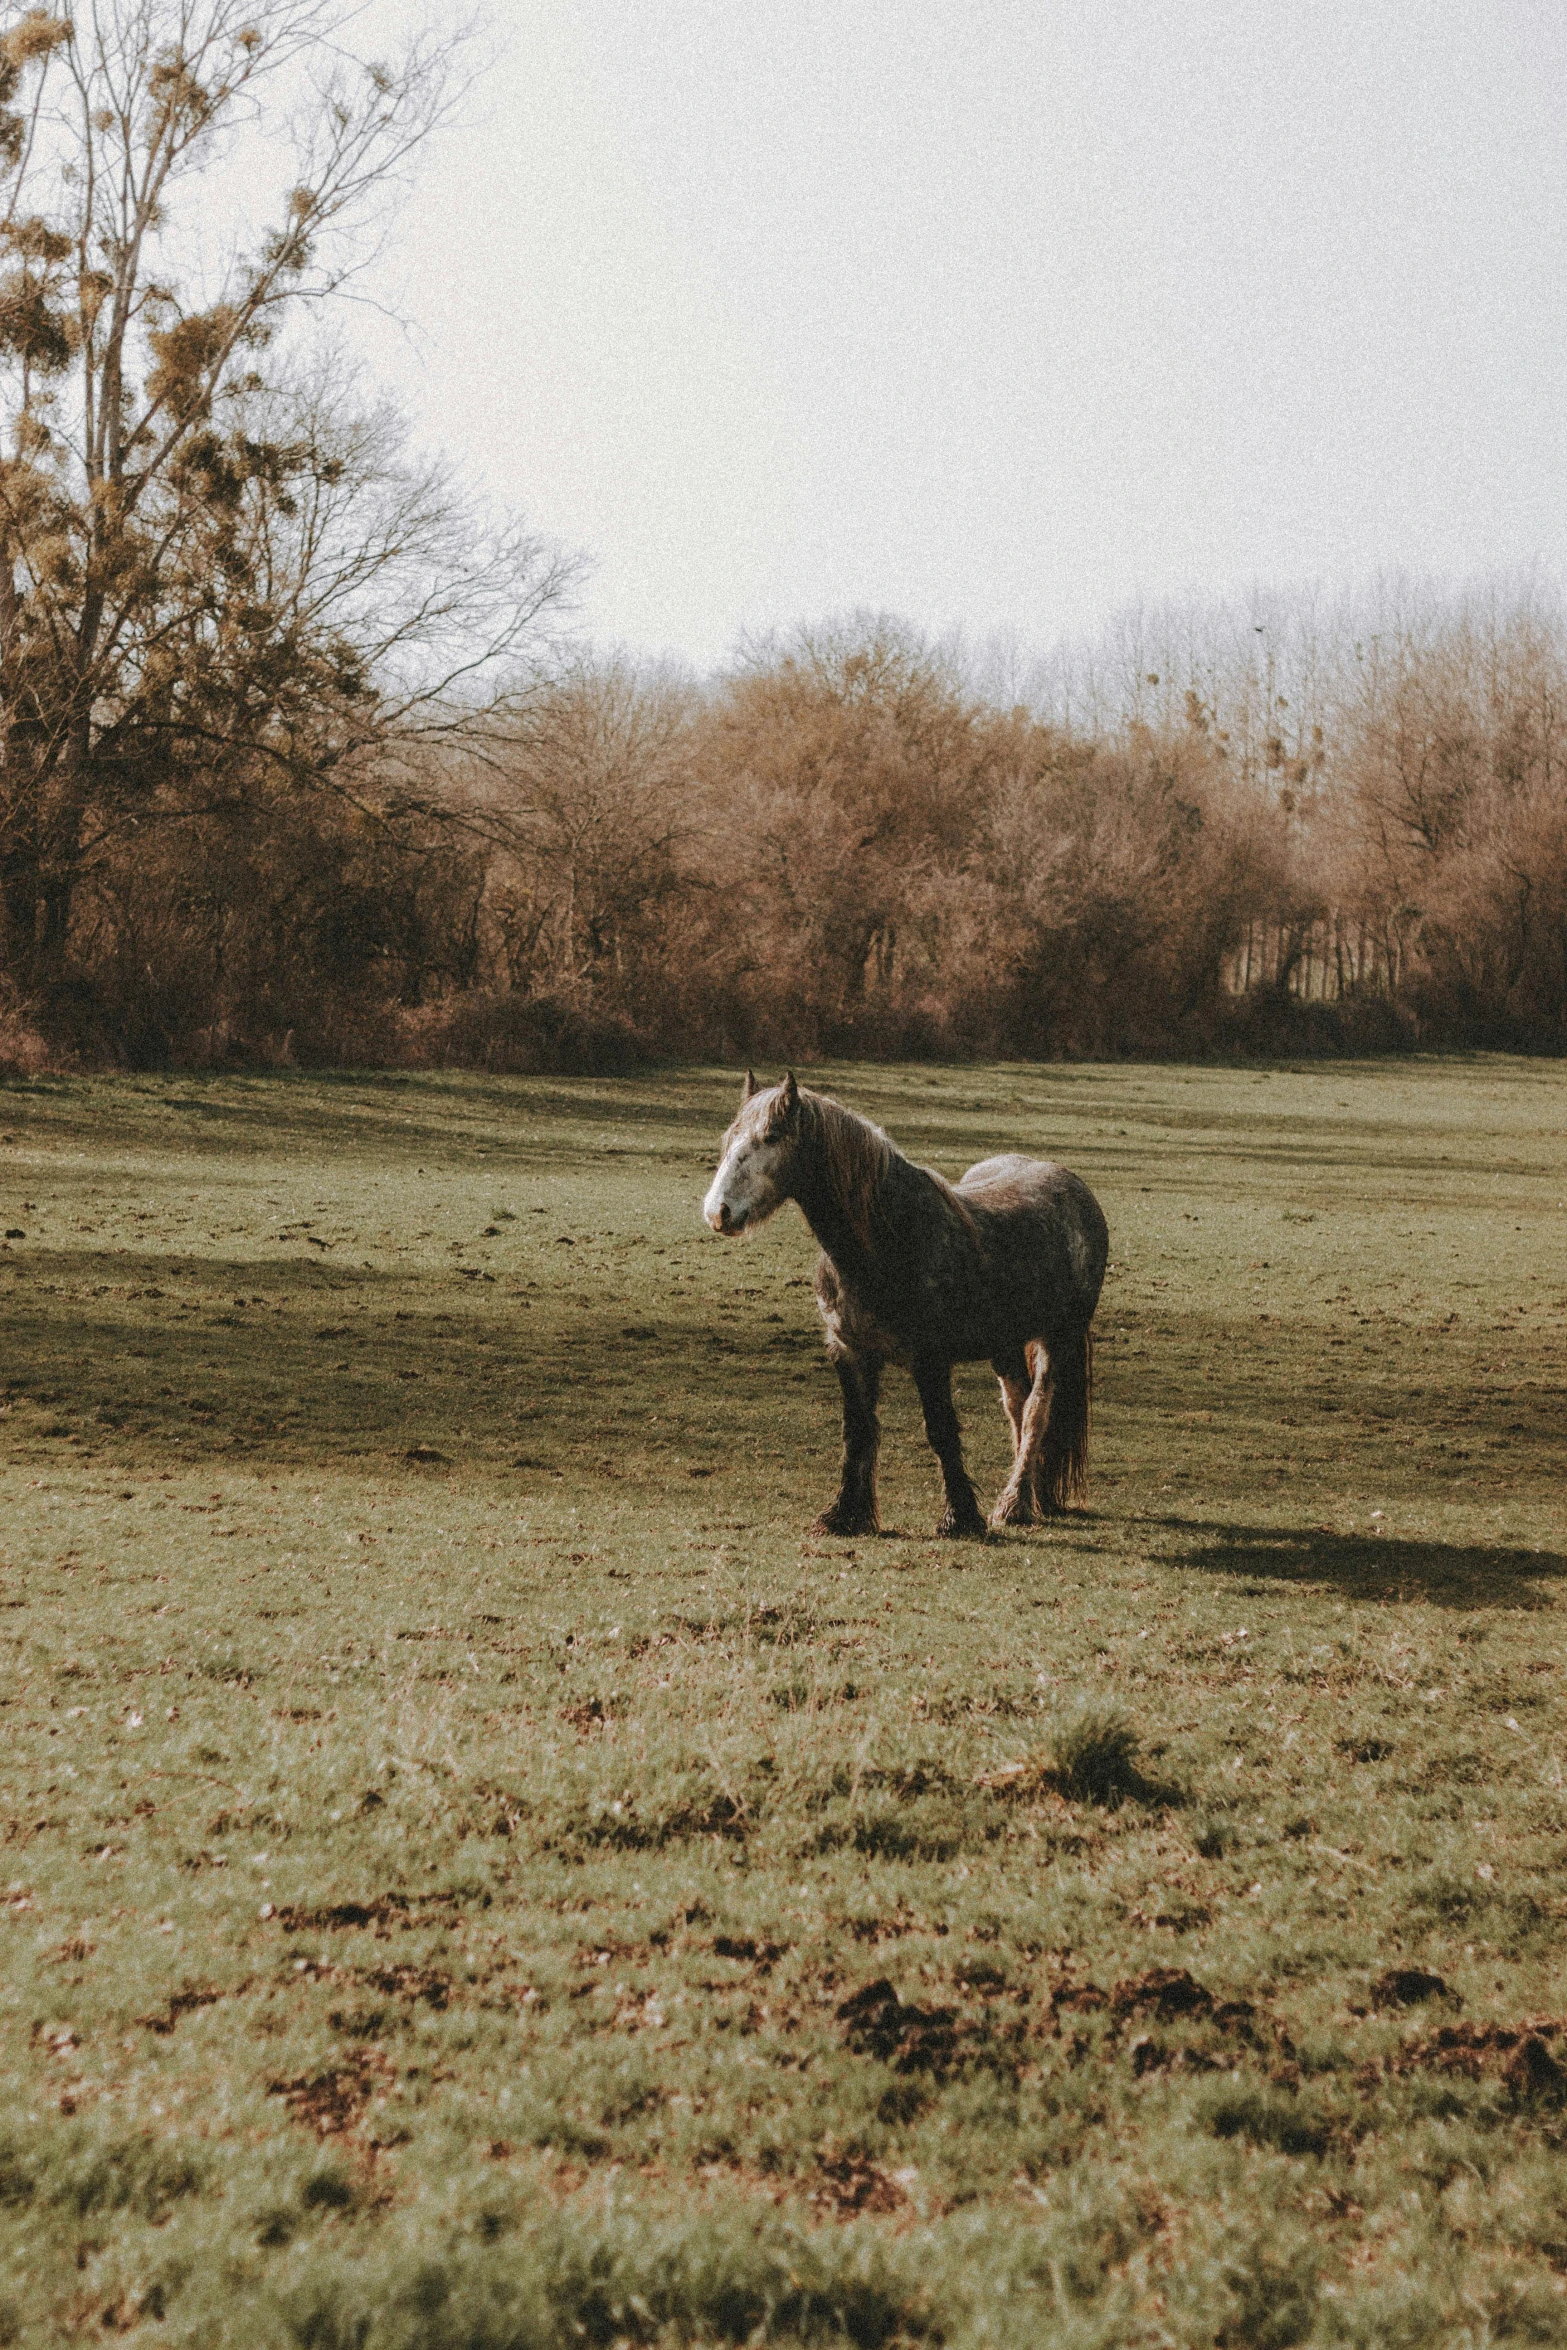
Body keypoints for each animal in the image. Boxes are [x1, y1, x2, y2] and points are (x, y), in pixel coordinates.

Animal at [704, 1071, 1108, 1541]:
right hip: (1005, 1344)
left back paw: (1015, 1505)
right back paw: (1033, 1496)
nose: (717, 1212)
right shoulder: (850, 1353)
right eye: (728, 1137)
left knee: (1036, 1411)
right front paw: (846, 1515)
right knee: (1016, 1405)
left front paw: (960, 1518)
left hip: (1058, 1337)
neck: (888, 1240)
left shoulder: (929, 1358)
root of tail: (1074, 1187)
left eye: (770, 1136)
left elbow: (941, 1431)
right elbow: (858, 1432)